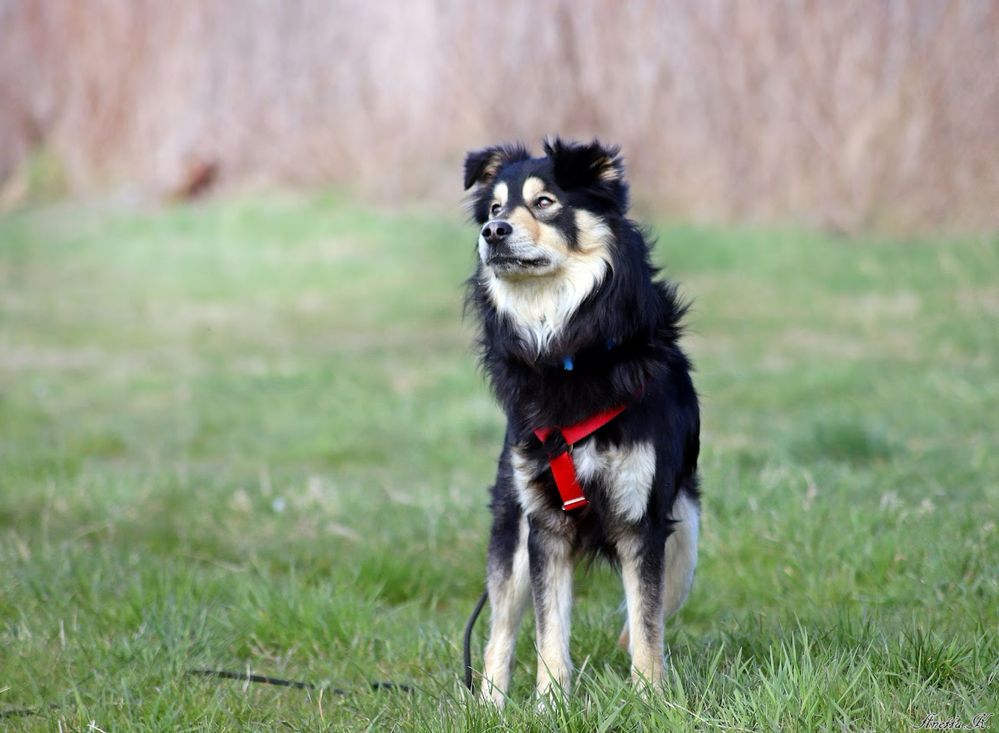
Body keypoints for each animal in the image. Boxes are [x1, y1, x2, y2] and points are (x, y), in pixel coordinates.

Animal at [462, 136, 704, 704]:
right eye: (495, 208)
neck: (568, 346)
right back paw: (489, 705)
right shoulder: (544, 524)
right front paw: (551, 705)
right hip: (512, 524)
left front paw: (650, 701)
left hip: (686, 539)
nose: (492, 233)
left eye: (545, 202)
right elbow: (549, 628)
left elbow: (647, 625)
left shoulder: (643, 520)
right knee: (499, 627)